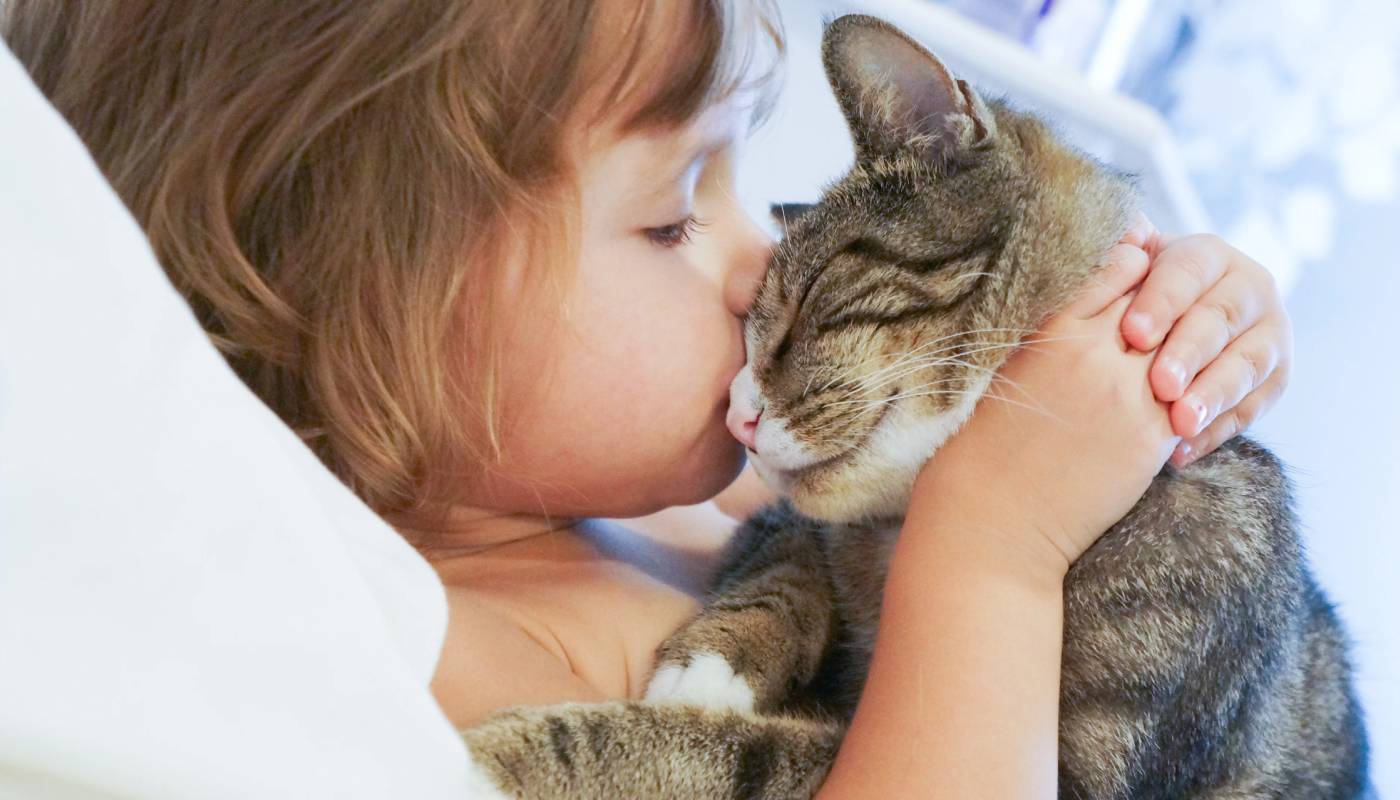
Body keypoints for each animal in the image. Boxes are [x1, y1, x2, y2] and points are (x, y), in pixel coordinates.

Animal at [460, 14, 1370, 799]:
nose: (735, 415)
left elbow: (741, 753)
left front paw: (506, 756)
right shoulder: (780, 520)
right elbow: (789, 556)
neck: (904, 532)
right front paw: (717, 661)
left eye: (808, 299)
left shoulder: (1079, 772)